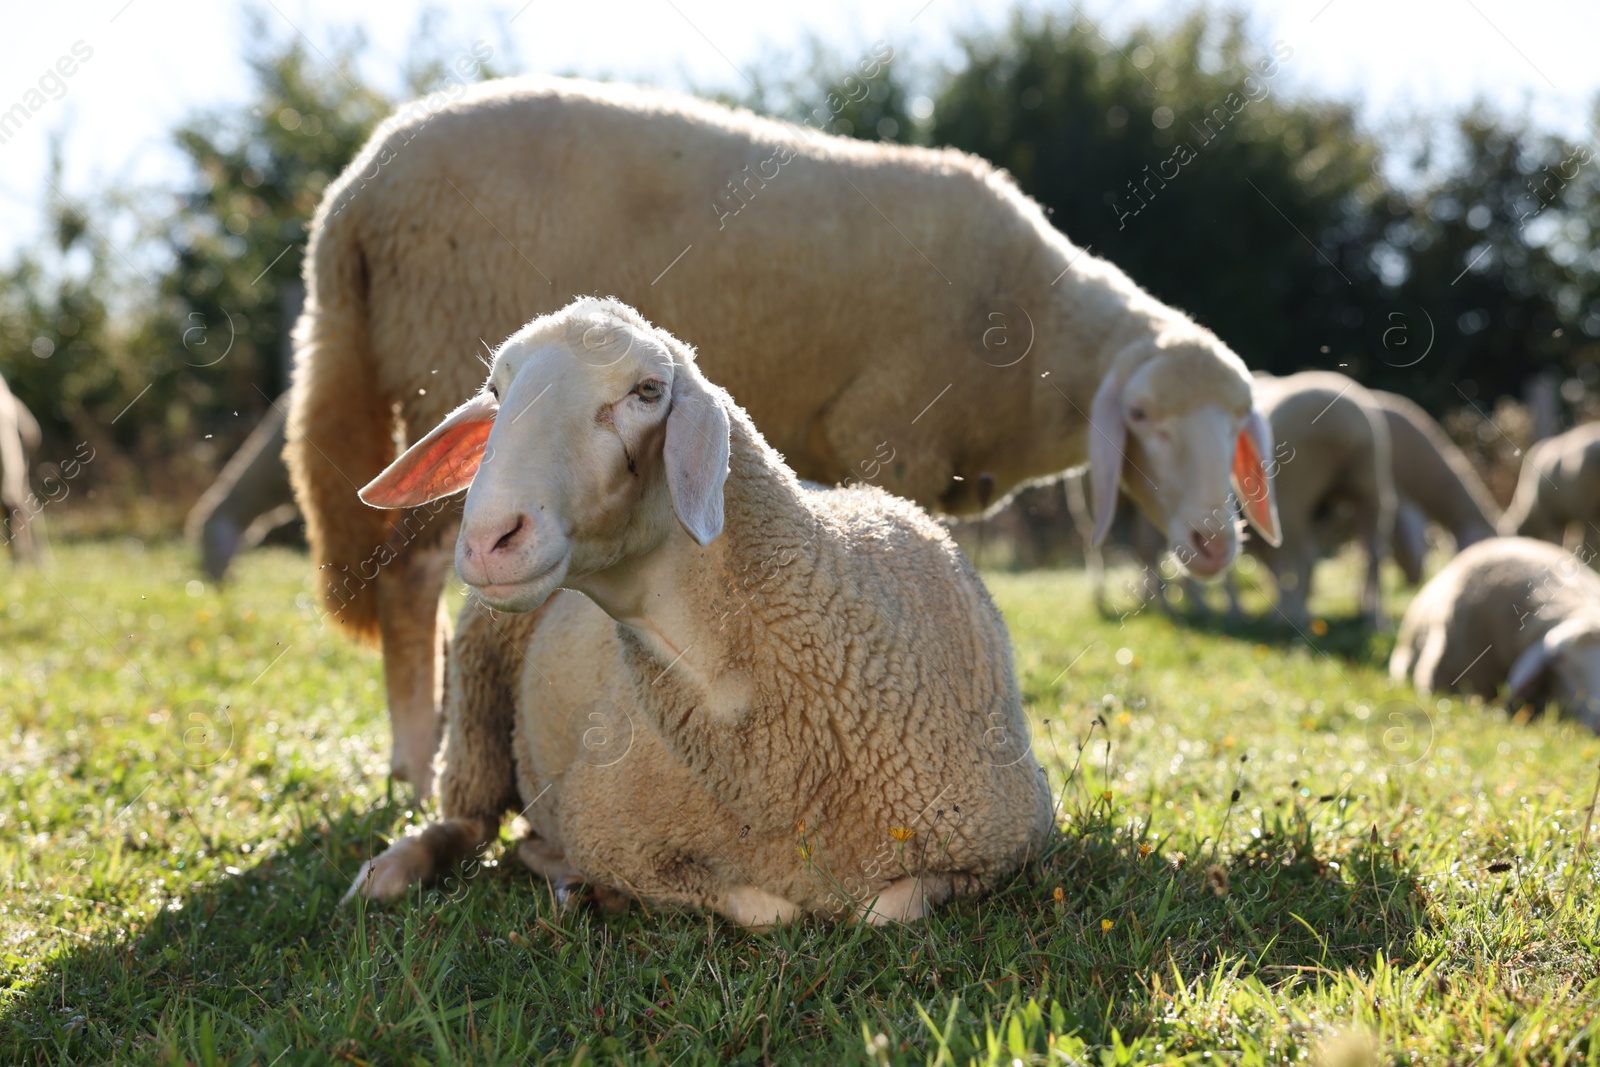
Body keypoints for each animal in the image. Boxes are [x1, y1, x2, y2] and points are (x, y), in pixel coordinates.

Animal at [284, 75, 1286, 793]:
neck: (1034, 323)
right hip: (437, 350)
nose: (1212, 539)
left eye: (1239, 420)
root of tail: (350, 196)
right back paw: (417, 764)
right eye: (1145, 418)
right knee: (410, 582)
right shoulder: (893, 429)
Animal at [344, 299, 1056, 927]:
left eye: (648, 390)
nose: (490, 540)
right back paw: (393, 873)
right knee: (466, 819)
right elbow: (771, 910)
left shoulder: (1010, 838)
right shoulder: (609, 831)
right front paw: (589, 881)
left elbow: (886, 910)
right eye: (495, 391)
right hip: (477, 677)